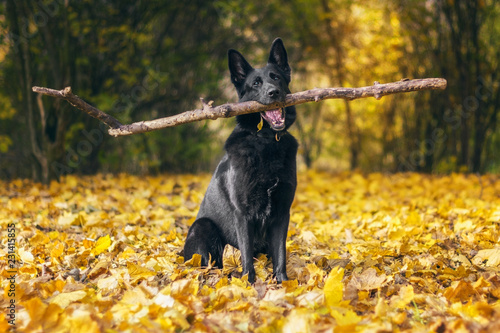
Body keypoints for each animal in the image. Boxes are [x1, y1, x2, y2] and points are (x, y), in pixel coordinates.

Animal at [186, 39, 298, 282]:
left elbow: (281, 254)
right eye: (256, 83)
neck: (266, 142)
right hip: (202, 226)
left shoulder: (282, 213)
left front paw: (284, 283)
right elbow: (246, 254)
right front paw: (247, 283)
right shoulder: (243, 213)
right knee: (209, 263)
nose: (274, 92)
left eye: (276, 77)